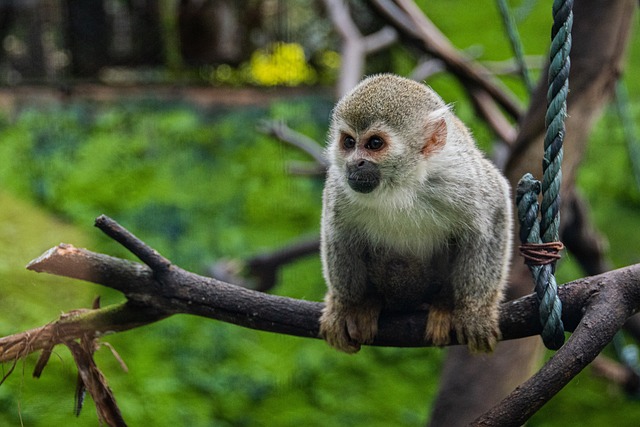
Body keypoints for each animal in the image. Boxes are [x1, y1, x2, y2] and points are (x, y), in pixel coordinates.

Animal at [322, 74, 512, 354]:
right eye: (348, 142)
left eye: (374, 144)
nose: (354, 163)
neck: (400, 186)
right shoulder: (340, 183)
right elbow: (340, 234)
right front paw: (345, 307)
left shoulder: (460, 176)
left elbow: (494, 210)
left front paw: (475, 311)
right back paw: (372, 301)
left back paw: (443, 303)